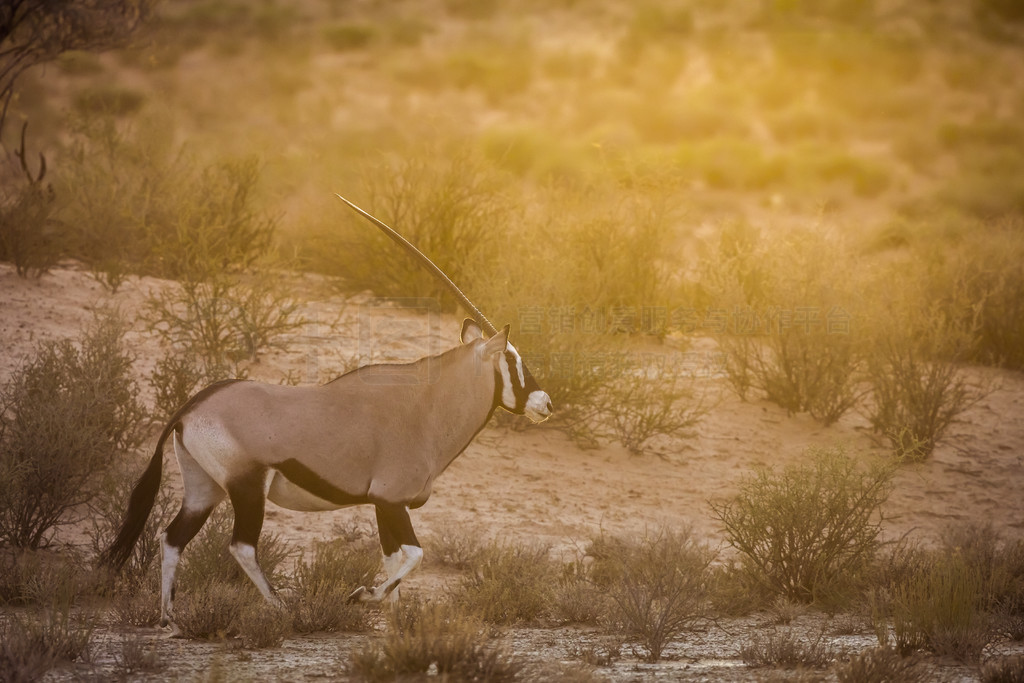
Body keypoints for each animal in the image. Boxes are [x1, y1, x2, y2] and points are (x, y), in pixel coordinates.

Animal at [102, 194, 552, 634]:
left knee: (173, 538)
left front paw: (394, 624)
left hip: (204, 488)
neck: (427, 404)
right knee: (242, 546)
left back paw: (170, 619)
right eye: (513, 361)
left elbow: (395, 560)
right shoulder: (391, 498)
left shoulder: (383, 504)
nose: (545, 403)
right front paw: (362, 596)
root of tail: (190, 407)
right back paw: (282, 609)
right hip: (247, 486)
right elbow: (413, 556)